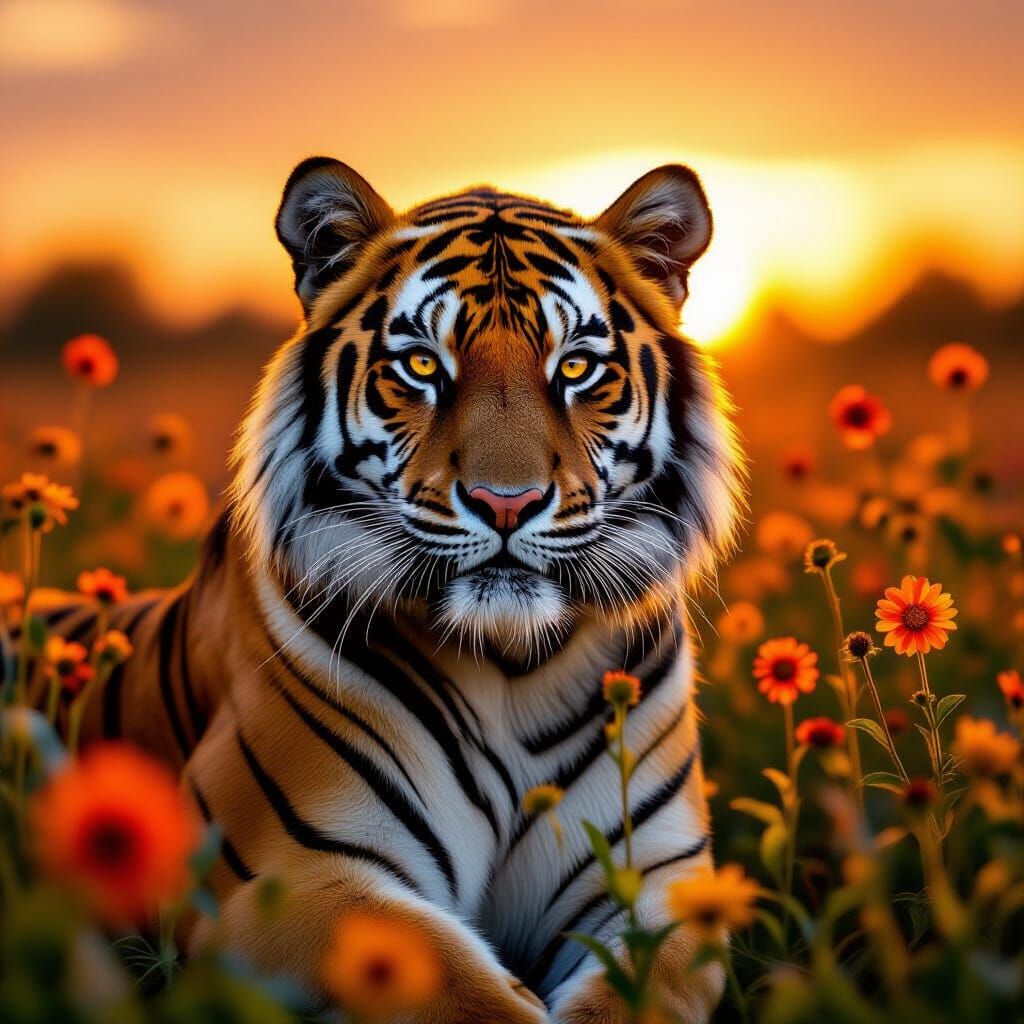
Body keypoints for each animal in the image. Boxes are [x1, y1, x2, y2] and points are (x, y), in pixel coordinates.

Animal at [26, 158, 745, 1022]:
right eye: (423, 366)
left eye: (575, 367)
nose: (507, 502)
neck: (513, 669)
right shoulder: (296, 874)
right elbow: (467, 992)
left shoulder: (655, 877)